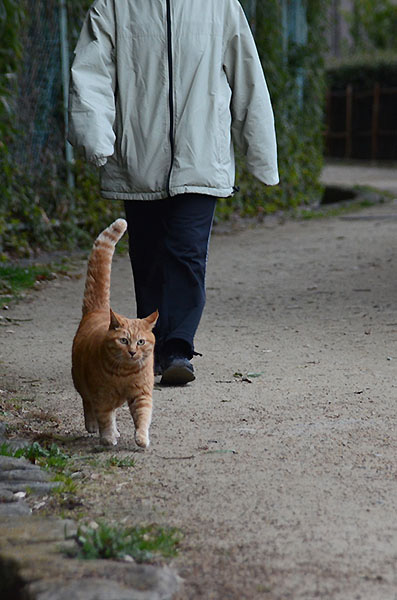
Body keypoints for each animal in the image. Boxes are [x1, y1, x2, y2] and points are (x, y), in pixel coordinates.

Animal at [71, 218, 158, 448]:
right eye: (124, 340)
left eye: (141, 342)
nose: (132, 352)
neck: (125, 374)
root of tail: (98, 310)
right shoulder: (102, 396)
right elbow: (105, 418)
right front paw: (108, 437)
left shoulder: (141, 394)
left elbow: (143, 417)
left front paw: (141, 438)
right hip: (81, 383)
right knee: (88, 405)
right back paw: (94, 427)